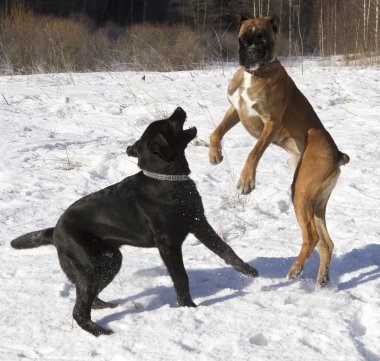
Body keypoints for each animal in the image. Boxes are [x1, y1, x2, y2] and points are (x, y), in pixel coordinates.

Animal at [11, 107, 258, 334]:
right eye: (168, 124)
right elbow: (181, 277)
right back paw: (99, 331)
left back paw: (105, 306)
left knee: (87, 296)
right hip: (93, 264)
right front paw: (188, 306)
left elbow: (225, 249)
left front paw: (249, 271)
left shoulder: (199, 223)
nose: (179, 109)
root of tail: (55, 229)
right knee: (79, 309)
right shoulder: (168, 244)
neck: (168, 180)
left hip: (106, 262)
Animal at [209, 16, 348, 286]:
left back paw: (295, 270)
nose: (252, 50)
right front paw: (215, 154)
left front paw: (246, 181)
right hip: (317, 202)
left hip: (301, 192)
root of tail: (338, 154)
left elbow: (253, 153)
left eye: (263, 39)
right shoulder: (235, 111)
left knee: (312, 237)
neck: (255, 73)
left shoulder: (270, 124)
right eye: (244, 39)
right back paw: (321, 280)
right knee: (326, 243)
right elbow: (216, 131)